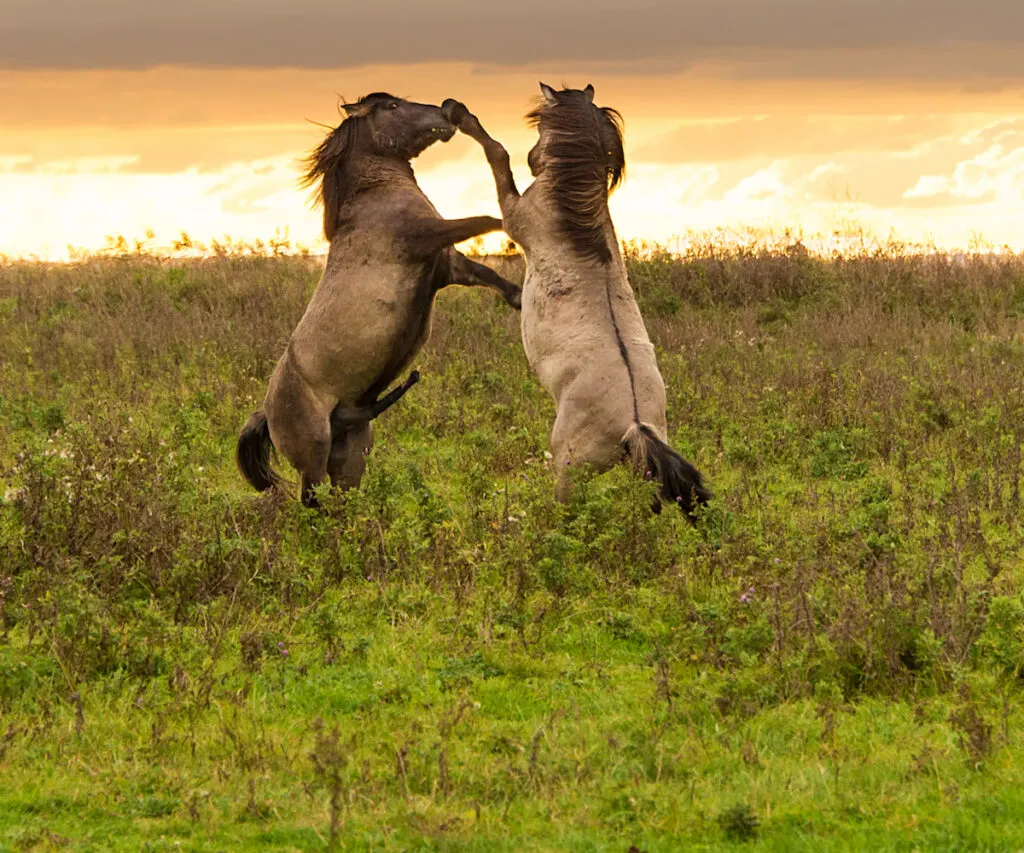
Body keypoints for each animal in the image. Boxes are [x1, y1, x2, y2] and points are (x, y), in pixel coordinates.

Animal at [234, 93, 520, 505]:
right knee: (311, 504)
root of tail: (267, 414)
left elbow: (488, 273)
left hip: (352, 454)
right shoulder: (428, 236)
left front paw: (519, 296)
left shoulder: (445, 265)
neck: (375, 195)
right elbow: (486, 220)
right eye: (392, 106)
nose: (447, 110)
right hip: (313, 459)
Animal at [444, 86, 708, 516]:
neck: (574, 218)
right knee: (652, 501)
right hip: (641, 468)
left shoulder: (515, 215)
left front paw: (461, 114)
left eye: (540, 129)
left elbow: (497, 154)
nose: (534, 158)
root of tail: (637, 424)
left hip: (568, 466)